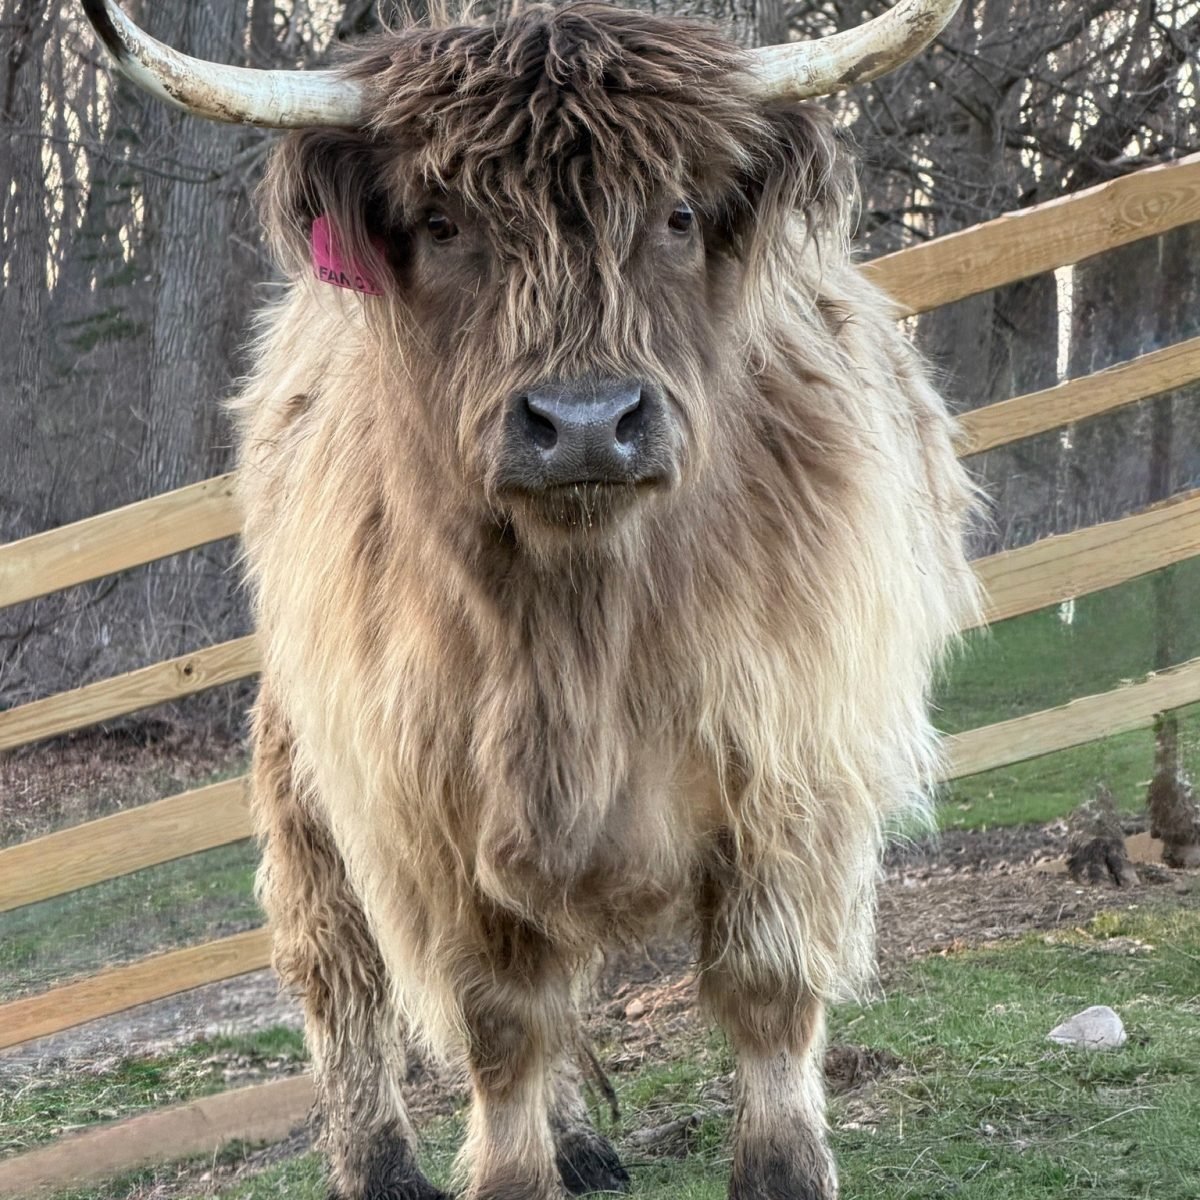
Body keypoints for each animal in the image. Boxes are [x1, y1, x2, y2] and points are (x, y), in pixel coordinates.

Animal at [82, 1, 981, 1197]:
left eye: (678, 213)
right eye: (442, 222)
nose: (587, 422)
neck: (584, 632)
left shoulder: (796, 759)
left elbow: (767, 991)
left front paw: (782, 1169)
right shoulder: (428, 811)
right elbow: (498, 1023)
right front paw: (510, 1169)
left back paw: (586, 1143)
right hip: (305, 770)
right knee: (338, 971)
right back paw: (383, 1164)